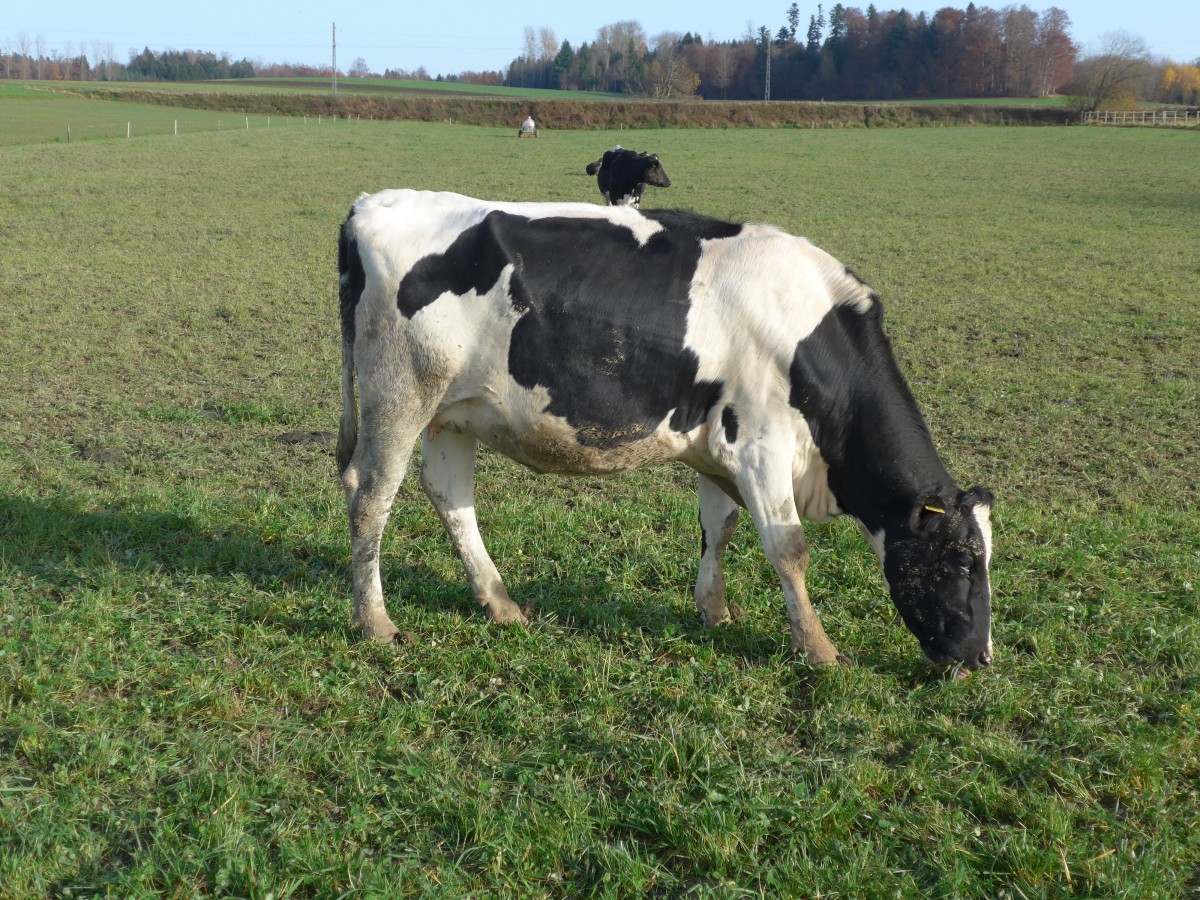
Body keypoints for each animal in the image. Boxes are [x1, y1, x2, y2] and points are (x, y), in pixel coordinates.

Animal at [337, 189, 995, 674]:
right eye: (963, 559)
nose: (980, 659)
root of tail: (371, 204)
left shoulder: (718, 447)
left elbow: (719, 527)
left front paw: (714, 609)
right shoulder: (760, 446)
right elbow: (789, 549)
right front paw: (818, 649)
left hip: (453, 410)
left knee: (451, 497)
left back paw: (499, 602)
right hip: (399, 397)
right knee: (371, 499)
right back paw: (376, 622)